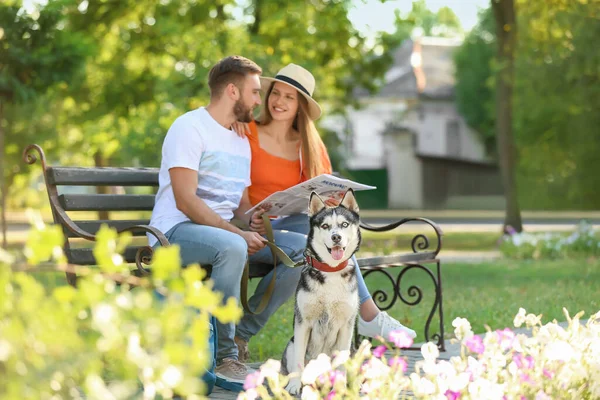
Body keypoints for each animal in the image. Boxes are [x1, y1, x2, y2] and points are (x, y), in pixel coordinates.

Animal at [282, 189, 360, 396]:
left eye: (344, 224)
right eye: (325, 226)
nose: (336, 237)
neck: (331, 271)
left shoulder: (346, 325)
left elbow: (342, 362)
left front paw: (341, 387)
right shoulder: (302, 323)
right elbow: (299, 360)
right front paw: (295, 386)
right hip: (290, 345)